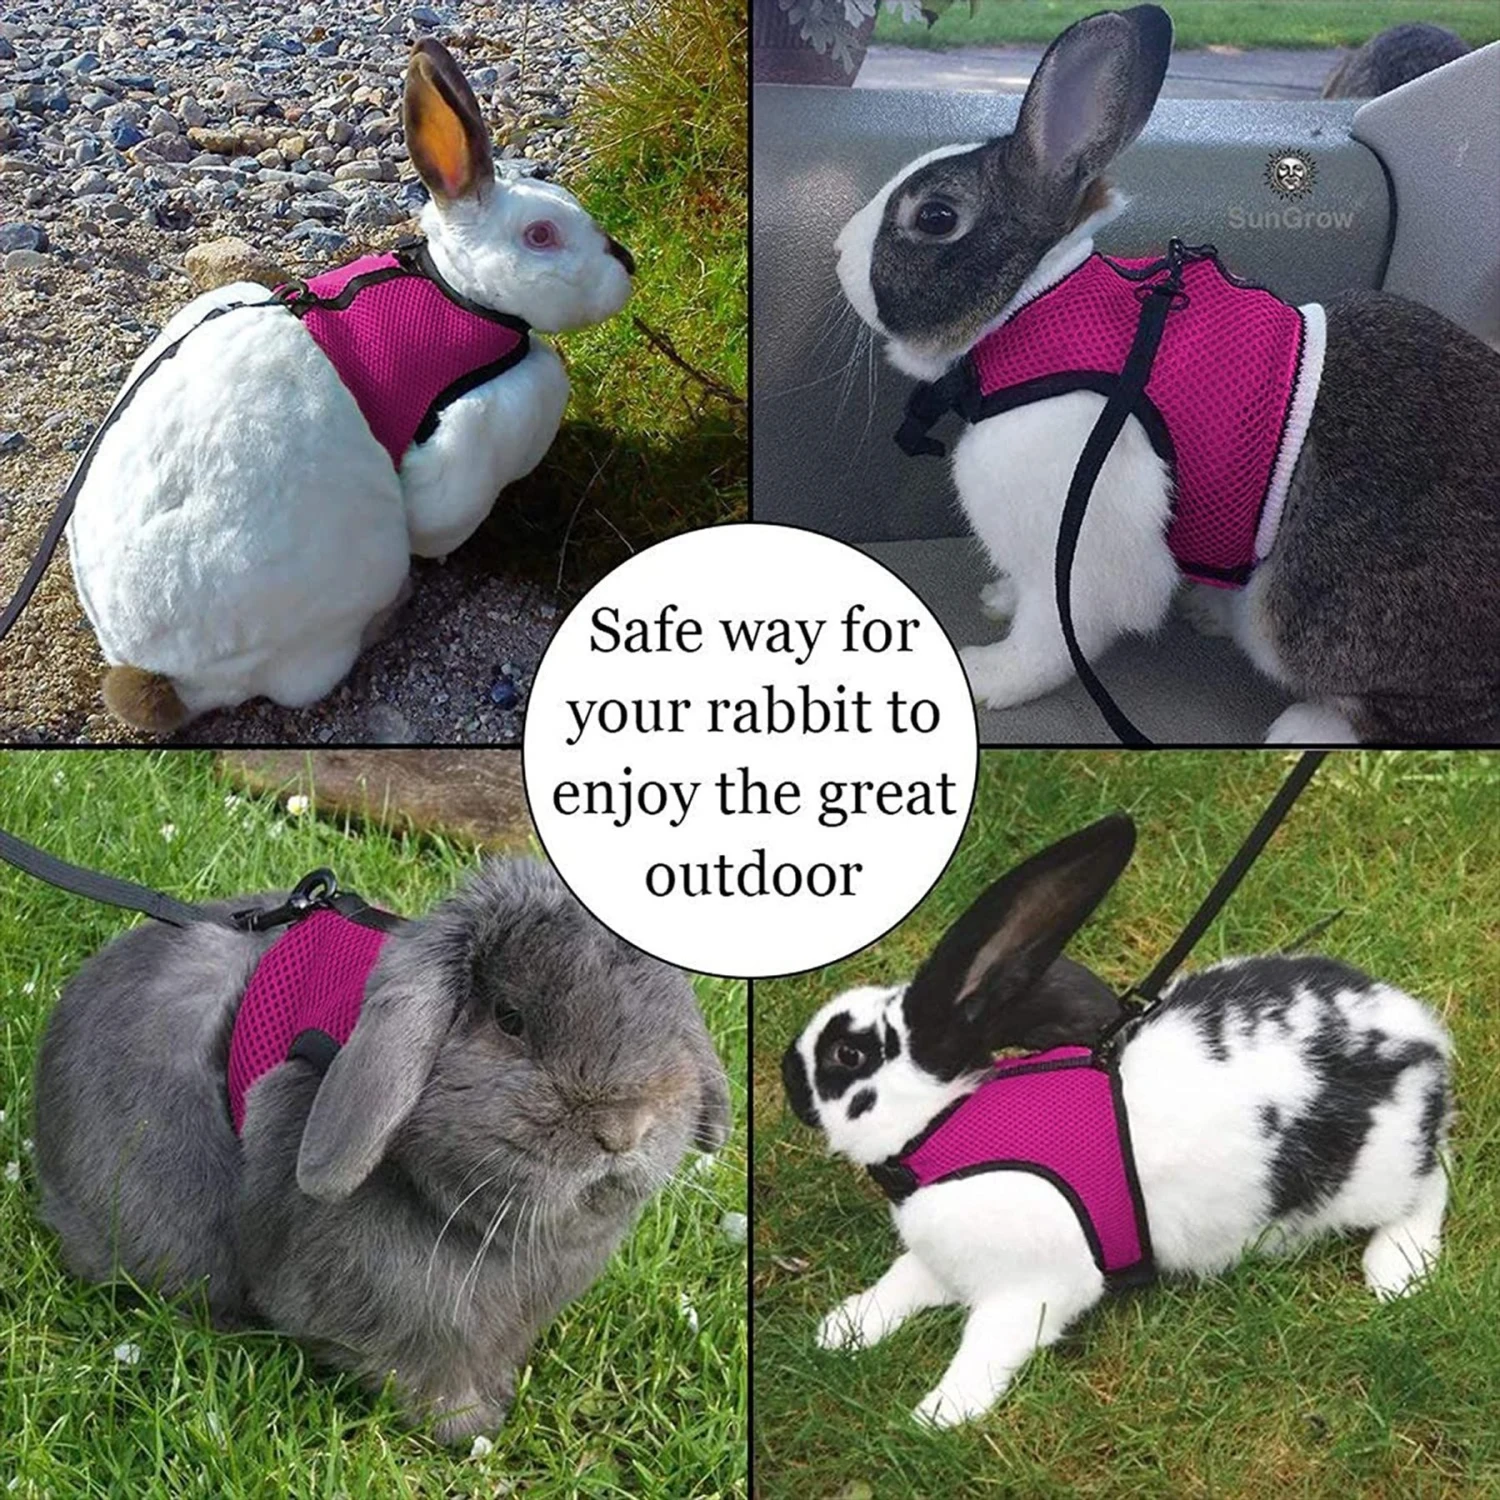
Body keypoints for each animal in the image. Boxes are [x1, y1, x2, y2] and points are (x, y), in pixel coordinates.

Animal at [65, 38, 635, 735]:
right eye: (541, 236)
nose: (627, 265)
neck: (456, 292)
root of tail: (154, 674)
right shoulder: (472, 435)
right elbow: (440, 518)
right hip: (350, 580)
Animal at [783, 815, 1453, 1428]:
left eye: (848, 1054)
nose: (789, 1071)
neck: (944, 1126)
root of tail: (1415, 1030)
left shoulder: (1033, 1287)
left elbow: (987, 1344)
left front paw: (941, 1414)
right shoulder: (942, 1261)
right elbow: (900, 1282)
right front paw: (842, 1330)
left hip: (1375, 1174)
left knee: (1433, 1181)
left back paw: (1397, 1270)